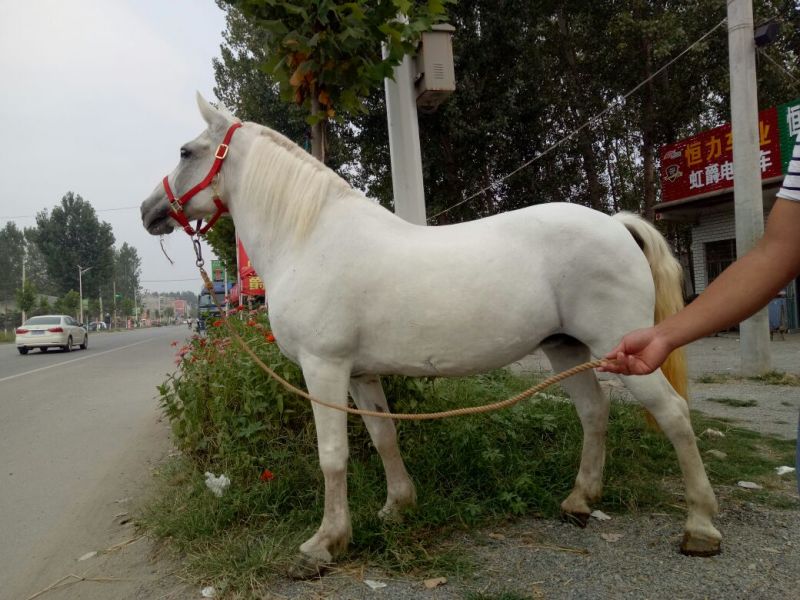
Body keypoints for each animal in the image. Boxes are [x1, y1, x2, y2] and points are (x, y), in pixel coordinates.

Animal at [141, 94, 721, 576]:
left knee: (673, 416)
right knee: (593, 412)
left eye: (187, 151)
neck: (309, 238)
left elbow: (333, 455)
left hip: (624, 348)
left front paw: (324, 543)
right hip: (567, 349)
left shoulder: (323, 368)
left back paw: (700, 527)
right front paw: (398, 506)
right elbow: (383, 437)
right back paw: (580, 501)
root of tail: (616, 224)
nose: (150, 211)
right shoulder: (360, 374)